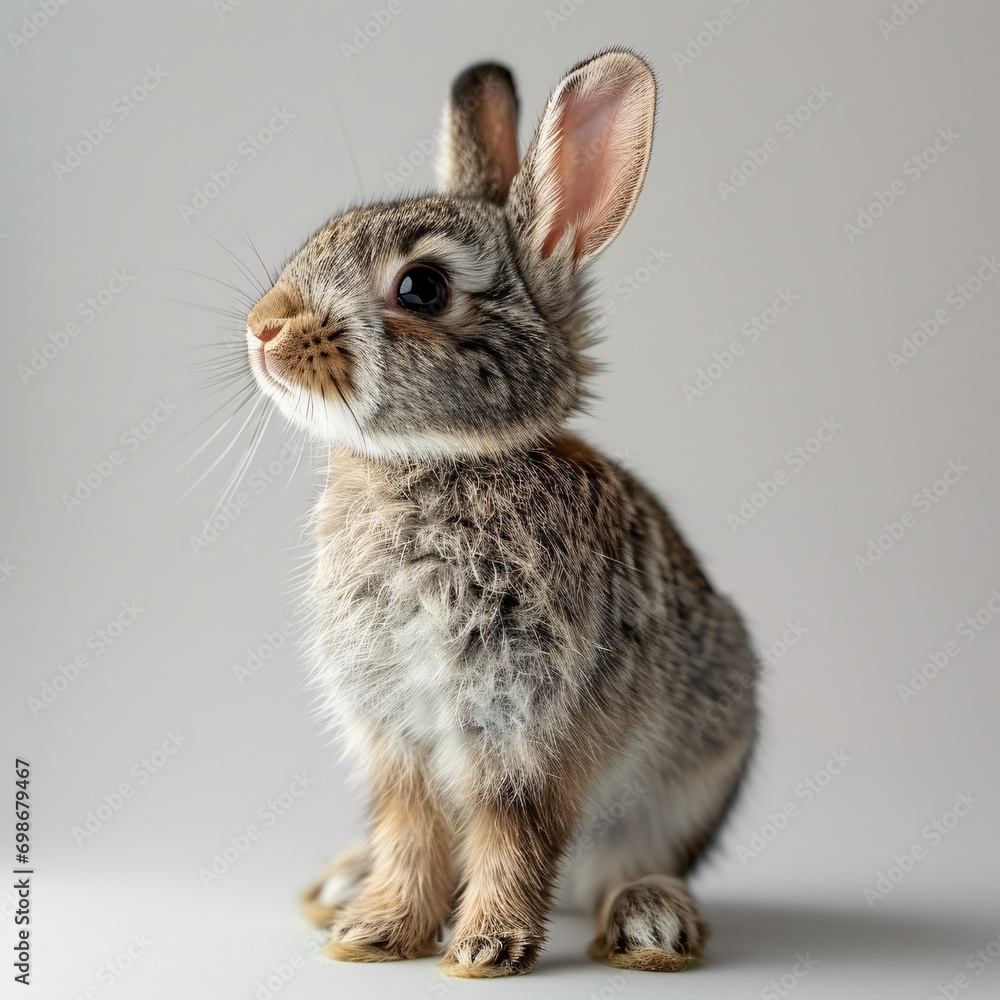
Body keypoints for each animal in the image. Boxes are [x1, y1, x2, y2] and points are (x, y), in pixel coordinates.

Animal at [245, 48, 757, 978]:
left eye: (422, 287)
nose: (264, 329)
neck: (440, 461)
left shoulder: (526, 725)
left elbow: (513, 836)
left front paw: (484, 948)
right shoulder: (396, 735)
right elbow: (411, 832)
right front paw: (377, 934)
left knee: (626, 863)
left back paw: (650, 926)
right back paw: (341, 887)